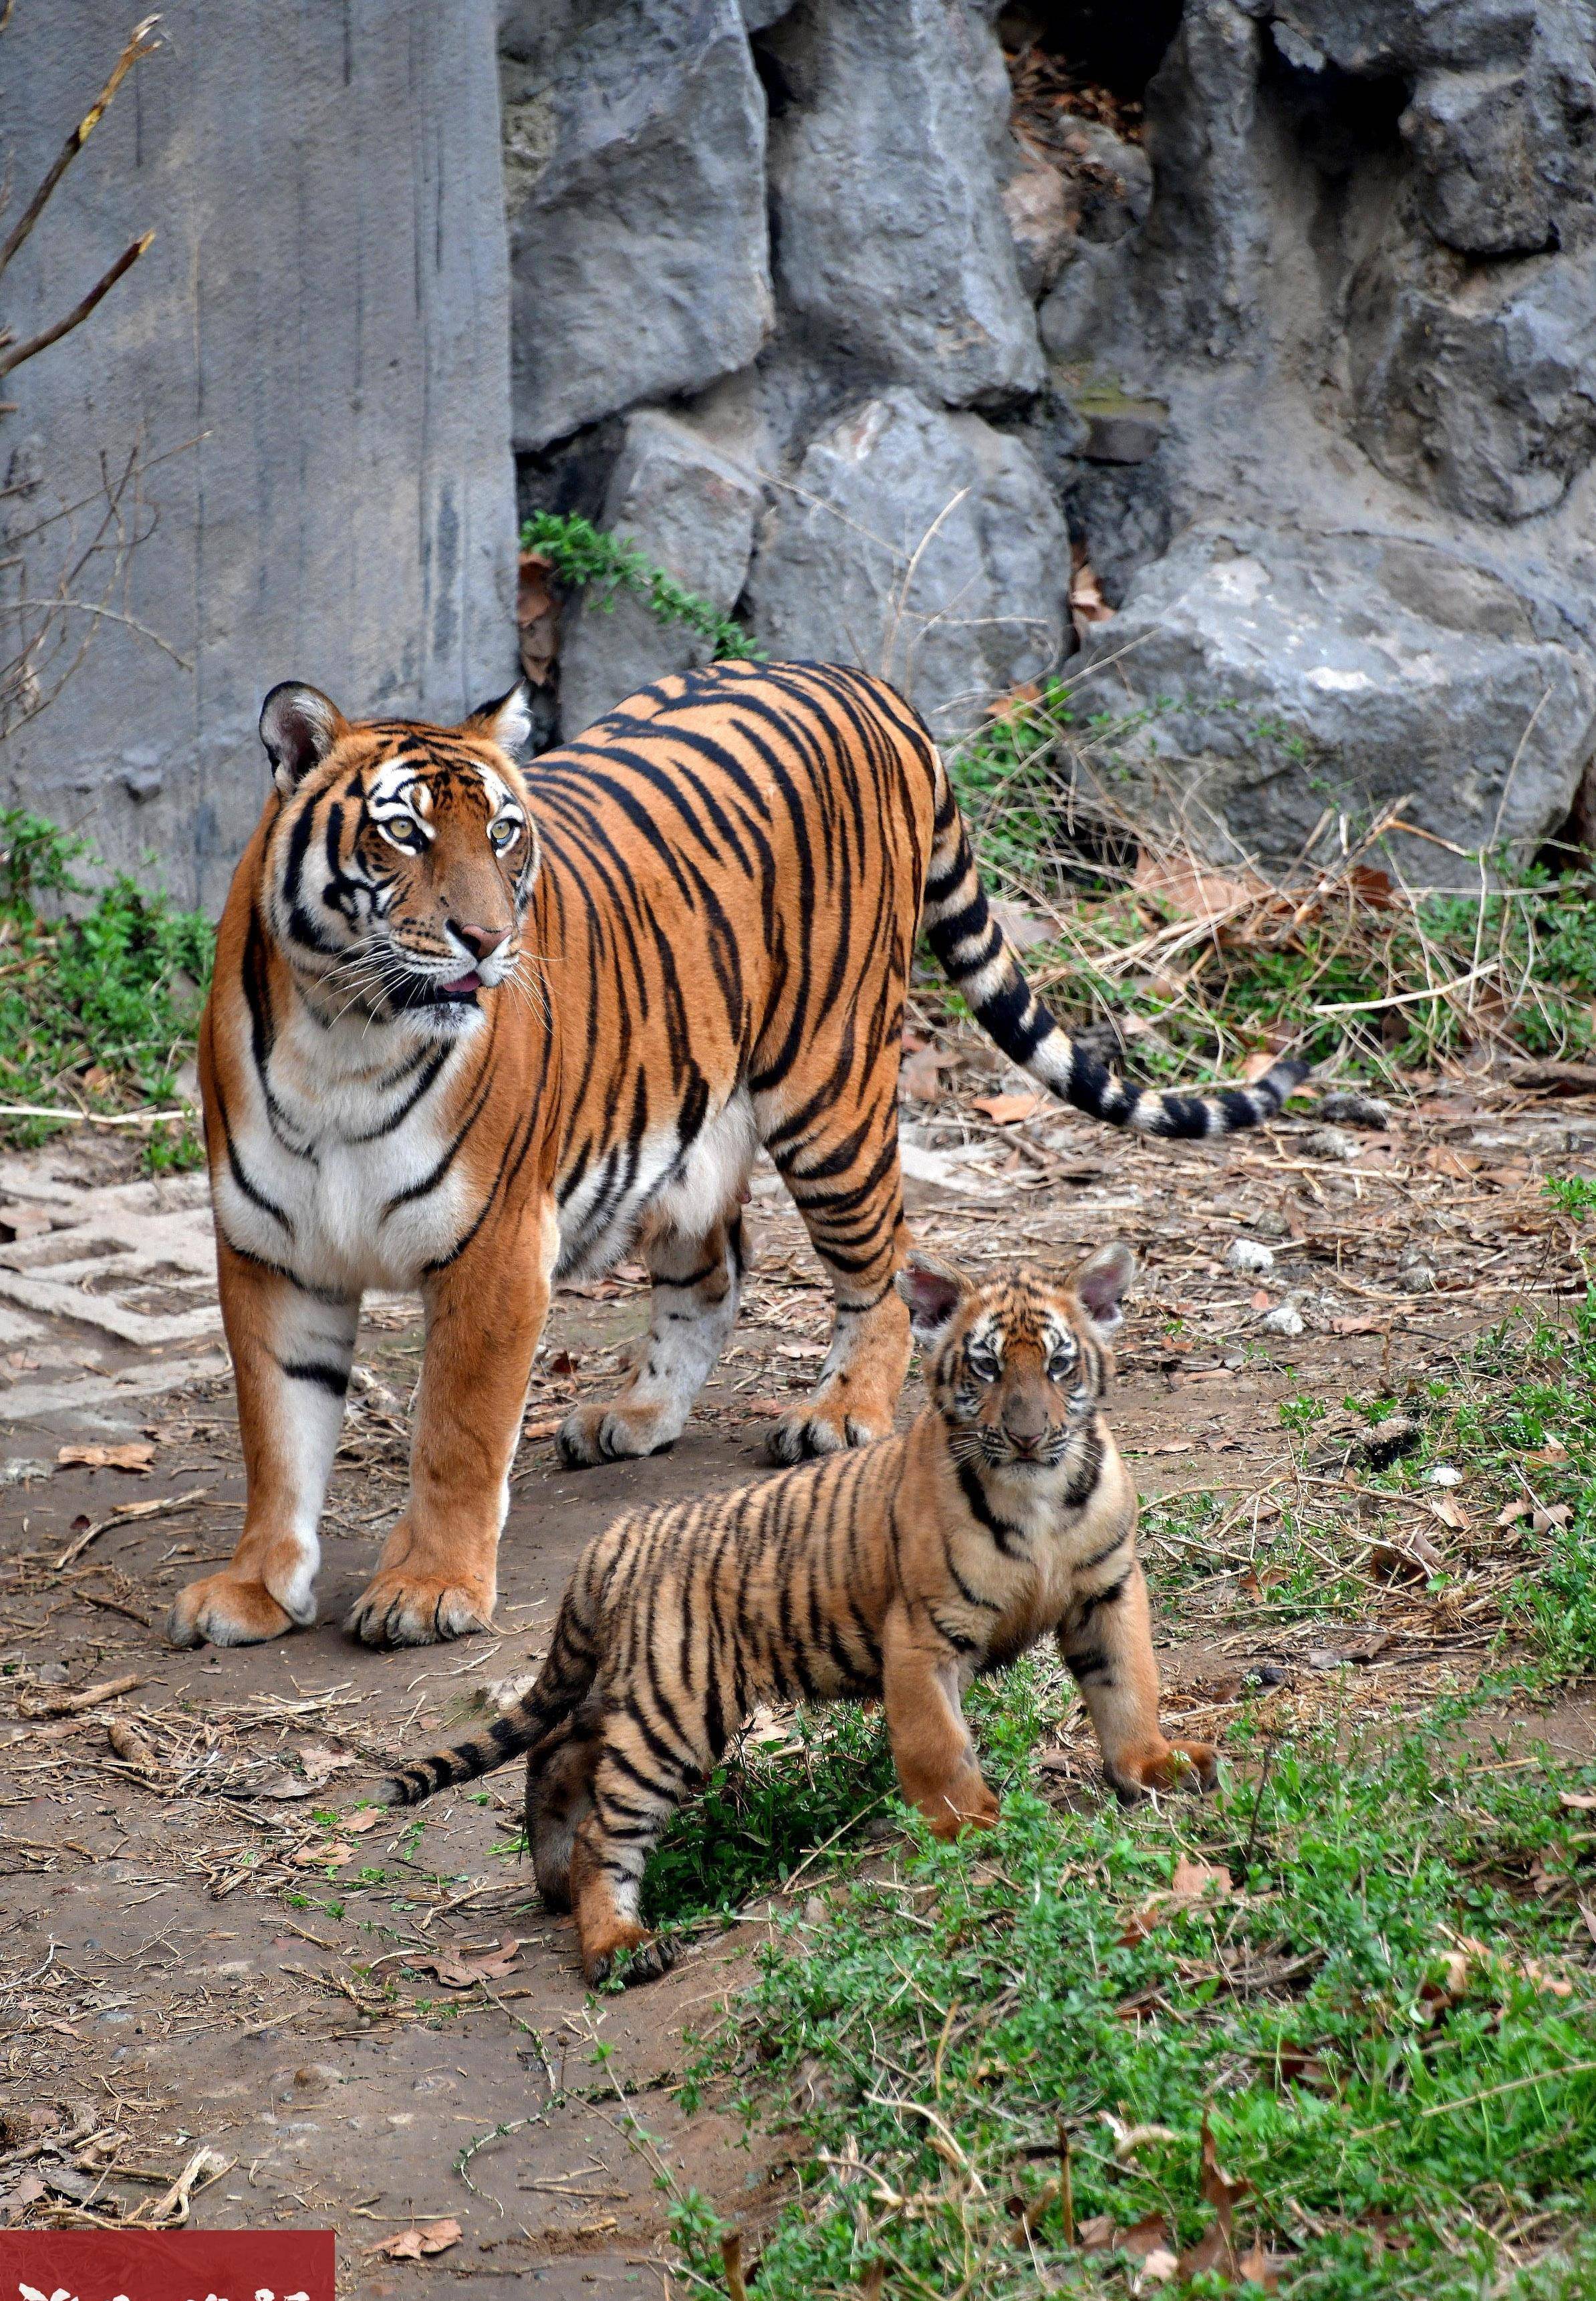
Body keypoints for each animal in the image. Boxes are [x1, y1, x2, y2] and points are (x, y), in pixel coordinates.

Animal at [168, 658, 1306, 1647]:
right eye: (401, 832)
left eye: (501, 833)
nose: (486, 940)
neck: (344, 1035)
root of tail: (861, 680)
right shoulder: (270, 1251)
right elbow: (278, 1436)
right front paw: (255, 1586)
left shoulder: (491, 1251)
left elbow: (455, 1434)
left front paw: (425, 1589)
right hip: (677, 1124)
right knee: (715, 1271)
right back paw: (636, 1413)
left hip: (829, 1091)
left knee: (887, 1266)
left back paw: (839, 1414)